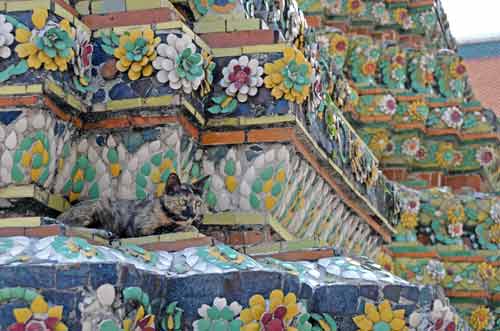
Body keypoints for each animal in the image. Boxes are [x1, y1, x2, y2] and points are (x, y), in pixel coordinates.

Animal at [56, 174, 209, 239]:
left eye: (198, 203)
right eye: (183, 202)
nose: (194, 214)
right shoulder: (141, 229)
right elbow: (169, 228)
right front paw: (190, 228)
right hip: (97, 207)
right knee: (68, 226)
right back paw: (105, 233)